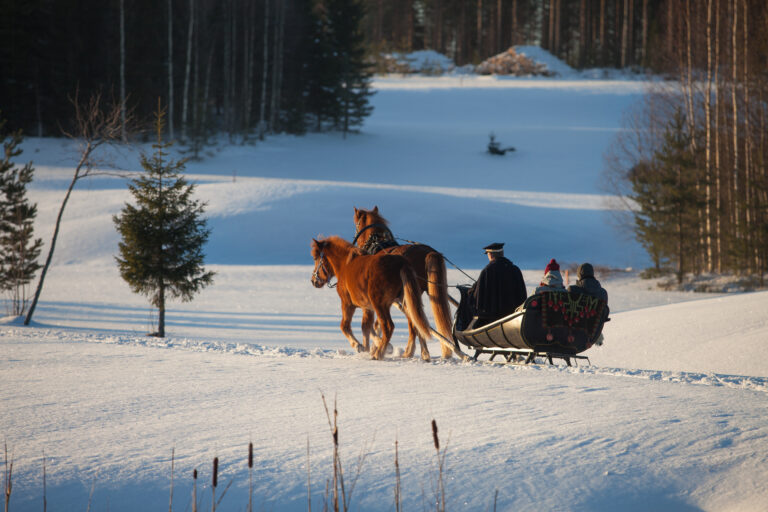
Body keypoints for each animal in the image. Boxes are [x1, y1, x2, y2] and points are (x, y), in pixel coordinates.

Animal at [352, 206, 457, 358]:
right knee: (419, 321)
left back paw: (412, 352)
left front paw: (372, 347)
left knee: (414, 323)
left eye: (356, 224)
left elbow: (371, 325)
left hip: (409, 296)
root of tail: (428, 252)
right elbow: (377, 324)